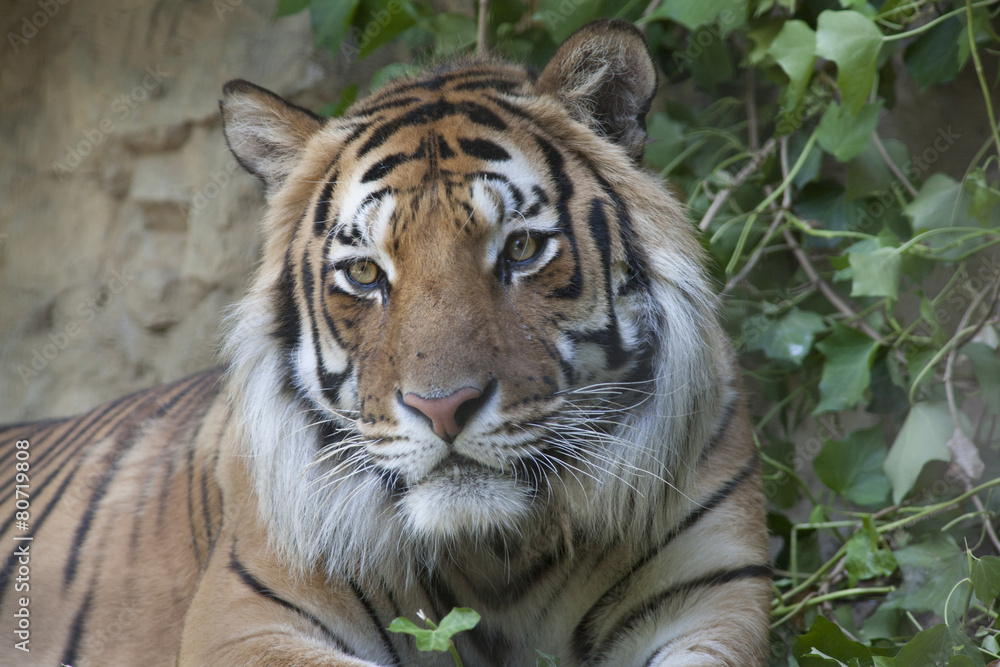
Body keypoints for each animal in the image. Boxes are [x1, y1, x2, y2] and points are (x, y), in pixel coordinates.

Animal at [0, 19, 770, 667]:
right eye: (366, 272)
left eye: (520, 248)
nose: (443, 408)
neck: (500, 559)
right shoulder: (247, 620)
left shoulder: (713, 595)